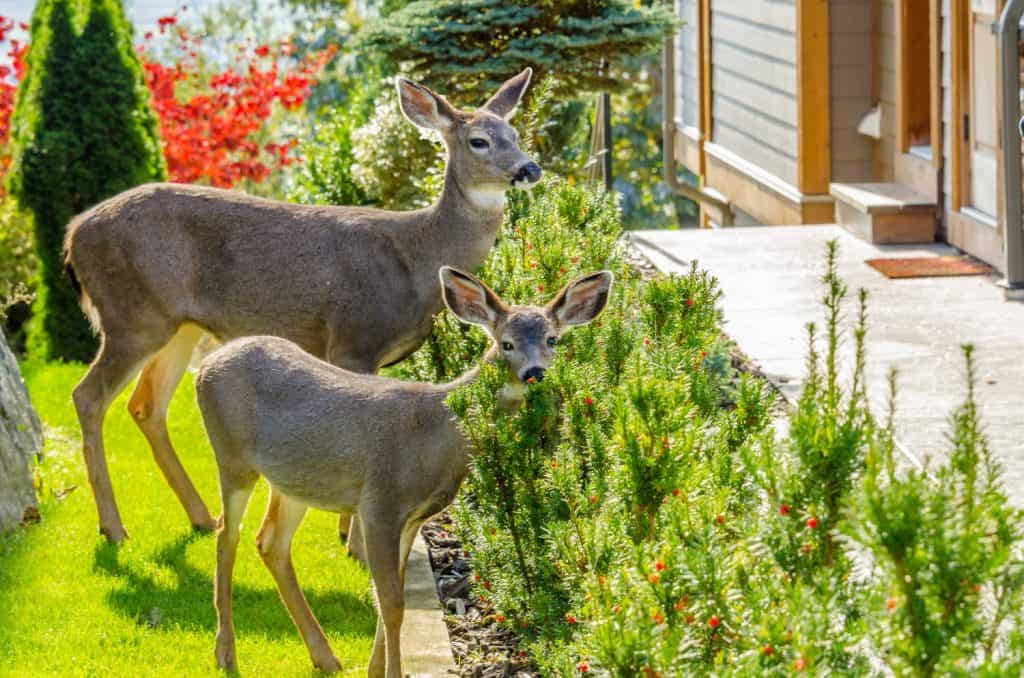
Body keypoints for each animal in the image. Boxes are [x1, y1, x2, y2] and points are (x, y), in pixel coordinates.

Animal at [62, 69, 539, 543]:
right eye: (479, 140)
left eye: (515, 134)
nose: (529, 167)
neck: (417, 257)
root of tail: (72, 234)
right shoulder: (353, 336)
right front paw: (349, 537)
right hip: (131, 315)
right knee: (88, 396)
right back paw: (113, 526)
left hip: (179, 325)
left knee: (146, 405)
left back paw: (200, 517)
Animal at [195, 266, 612, 677]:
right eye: (506, 343)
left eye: (552, 339)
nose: (535, 372)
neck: (439, 432)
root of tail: (205, 365)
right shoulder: (380, 501)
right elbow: (392, 602)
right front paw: (389, 671)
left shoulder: (414, 516)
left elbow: (393, 599)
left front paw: (374, 669)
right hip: (231, 454)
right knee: (226, 534)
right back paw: (225, 653)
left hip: (296, 480)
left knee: (269, 542)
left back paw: (324, 657)